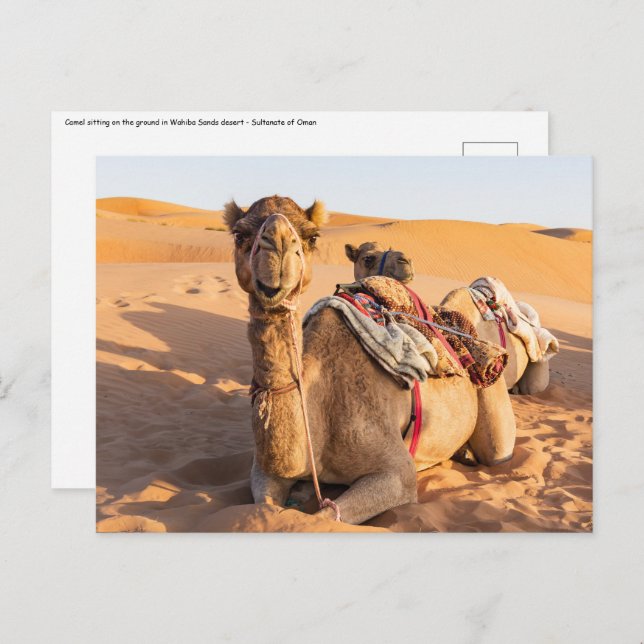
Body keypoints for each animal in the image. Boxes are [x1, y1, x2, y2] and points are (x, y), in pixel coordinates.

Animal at [225, 195, 516, 525]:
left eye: (312, 236)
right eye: (239, 235)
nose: (278, 246)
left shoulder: (397, 473)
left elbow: (322, 517)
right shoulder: (263, 471)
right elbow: (267, 507)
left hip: (493, 403)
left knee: (497, 449)